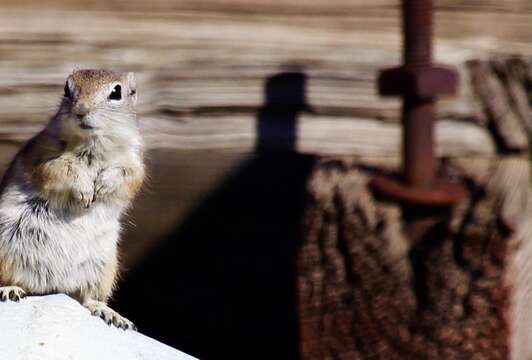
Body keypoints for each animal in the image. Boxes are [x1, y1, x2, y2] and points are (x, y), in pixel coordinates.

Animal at [0, 69, 144, 330]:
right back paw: (10, 289)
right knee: (12, 279)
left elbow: (127, 177)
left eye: (116, 92)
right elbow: (62, 169)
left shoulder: (133, 162)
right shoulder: (44, 155)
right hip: (6, 252)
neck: (92, 143)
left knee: (88, 297)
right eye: (67, 89)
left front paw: (102, 186)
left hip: (103, 268)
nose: (81, 110)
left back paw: (111, 314)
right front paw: (86, 190)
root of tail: (55, 286)